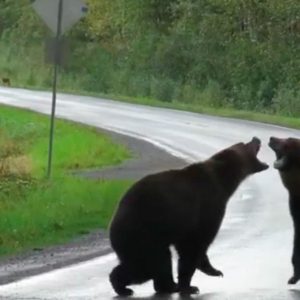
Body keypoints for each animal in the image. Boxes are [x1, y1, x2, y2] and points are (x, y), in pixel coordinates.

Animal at [109, 137, 268, 296]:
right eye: (244, 144)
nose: (256, 138)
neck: (224, 181)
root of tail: (113, 219)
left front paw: (213, 271)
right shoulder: (207, 205)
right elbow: (195, 245)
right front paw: (190, 285)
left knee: (156, 262)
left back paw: (165, 286)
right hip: (144, 232)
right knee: (149, 264)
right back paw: (126, 286)